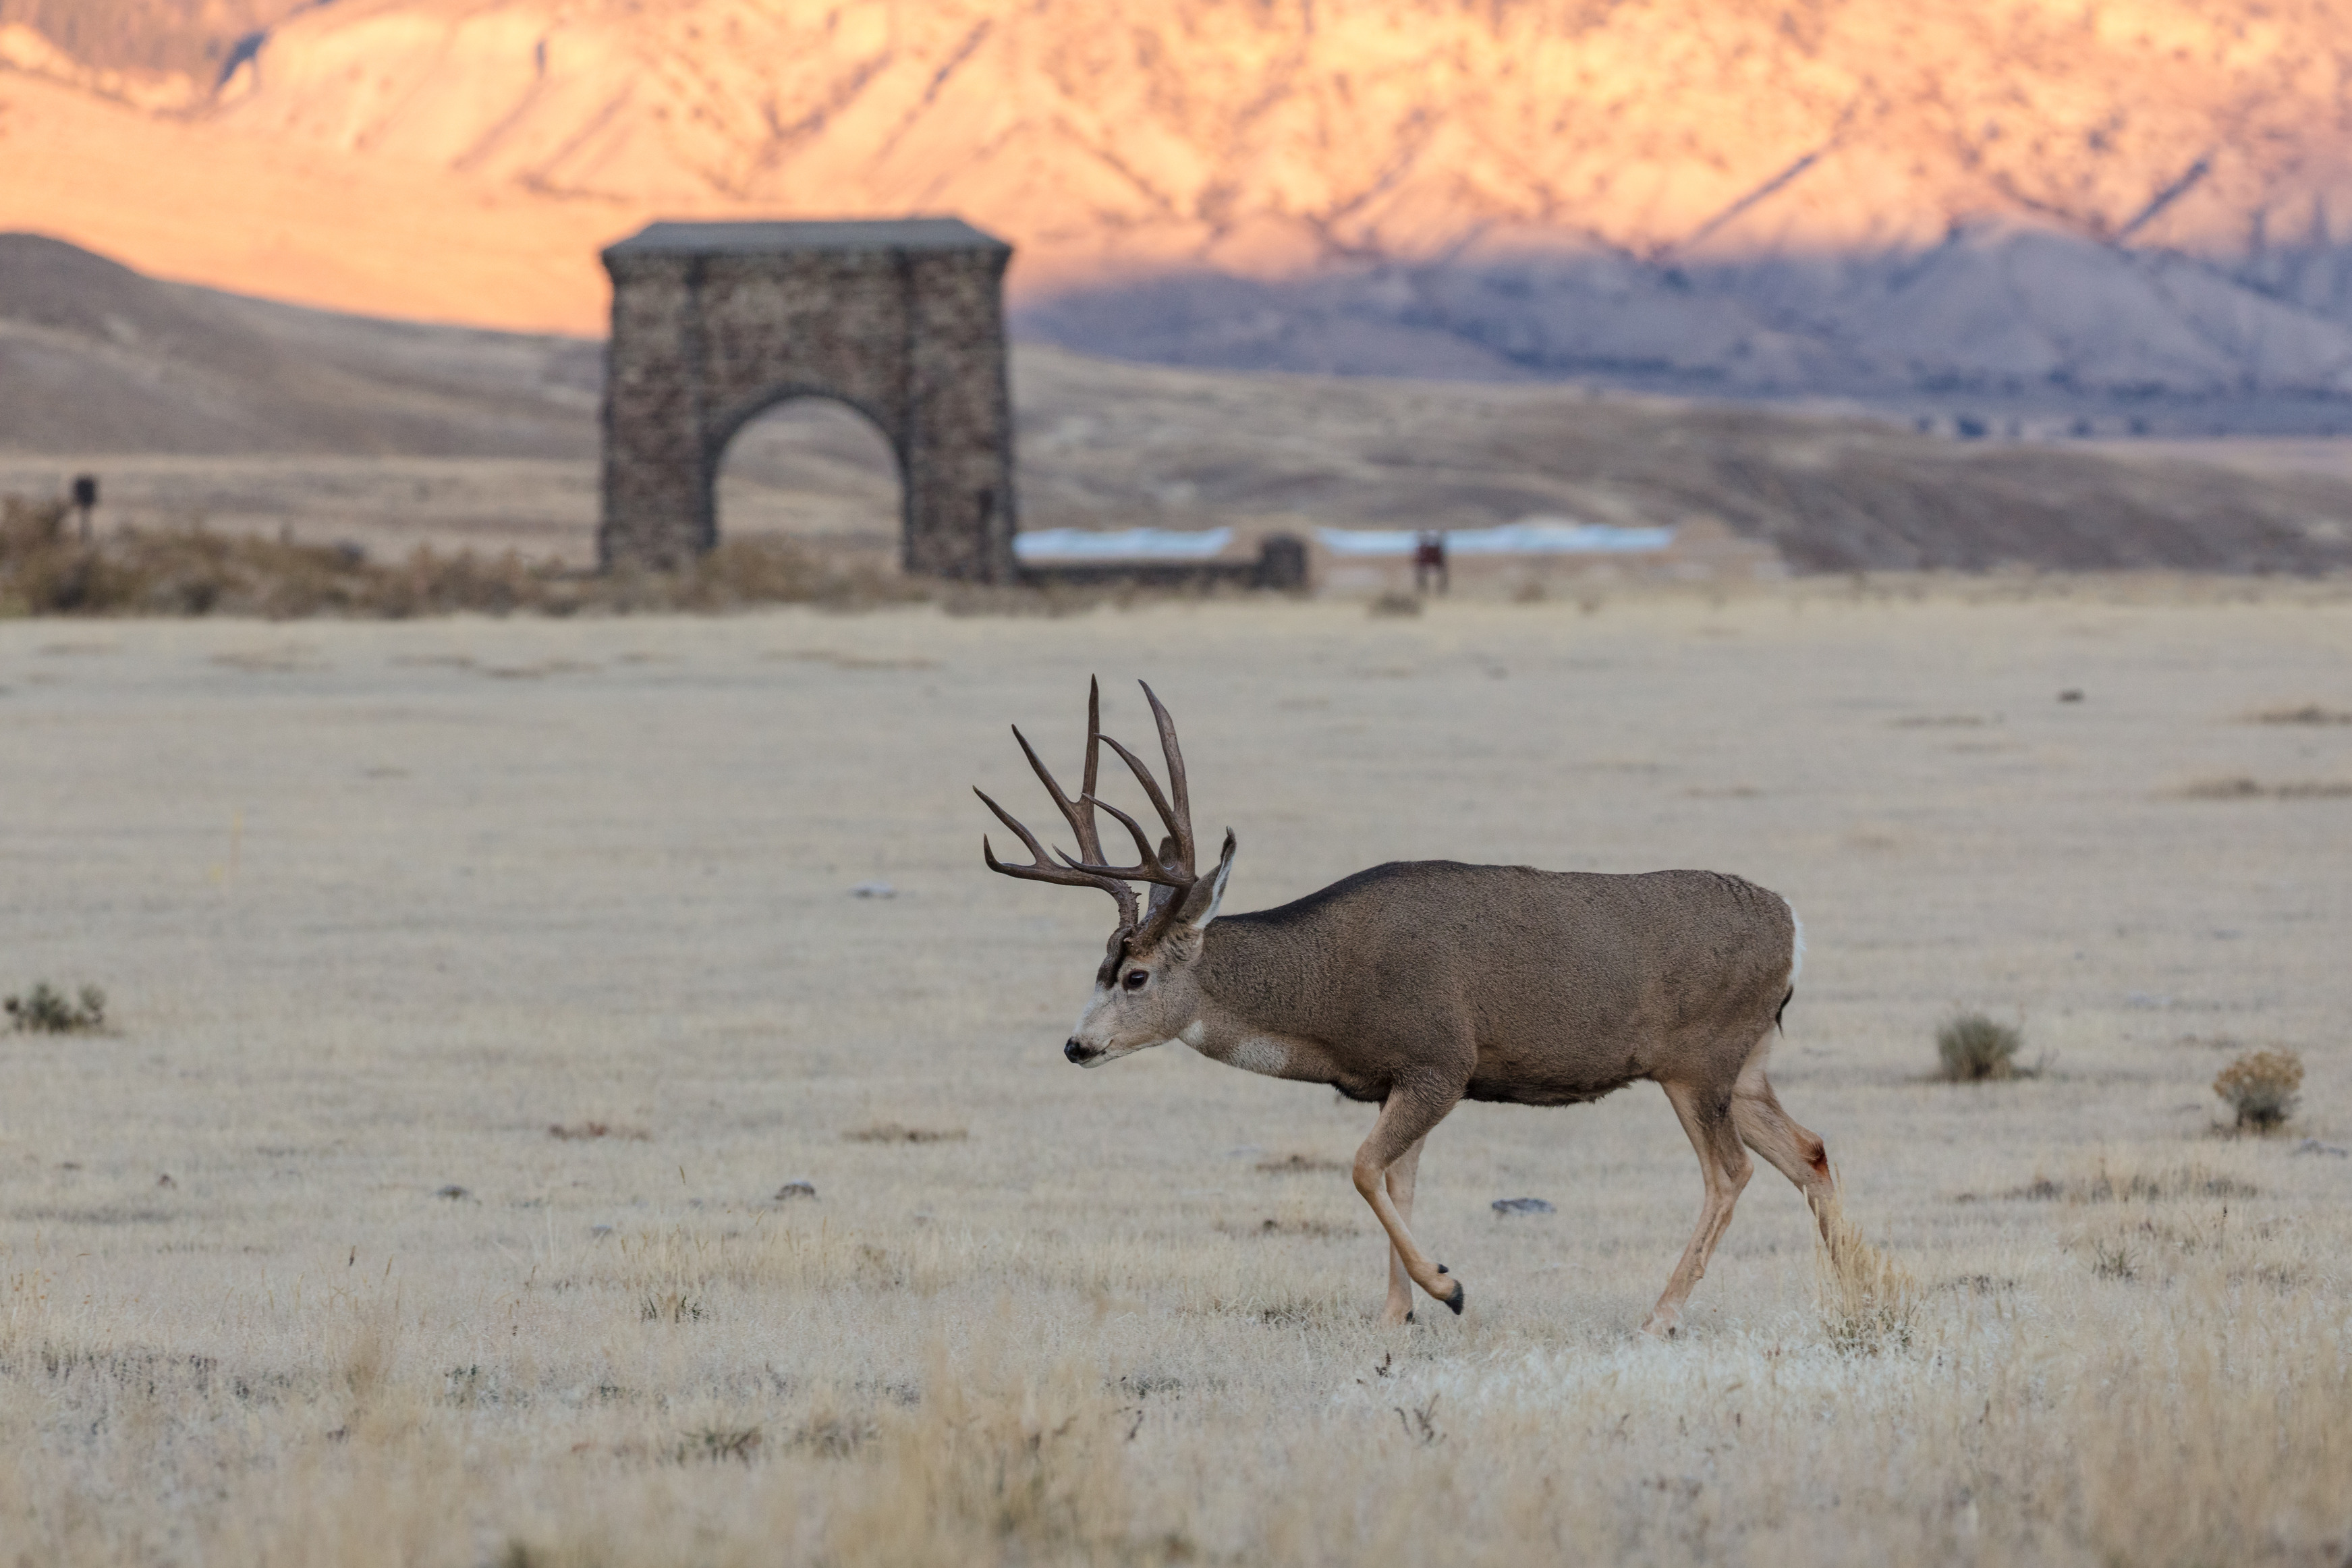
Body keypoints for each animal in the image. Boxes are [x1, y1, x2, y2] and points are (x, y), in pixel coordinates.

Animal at [976, 679, 1840, 1335]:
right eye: (1099, 965)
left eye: (1136, 975)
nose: (1077, 1045)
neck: (1330, 988)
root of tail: (1793, 924)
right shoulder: (1404, 1077)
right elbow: (1398, 1181)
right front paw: (1398, 1312)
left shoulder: (1440, 1059)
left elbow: (1364, 1168)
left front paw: (1446, 1288)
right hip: (1746, 1063)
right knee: (1810, 1150)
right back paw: (1849, 1292)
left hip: (1698, 1062)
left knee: (1730, 1172)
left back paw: (1661, 1313)